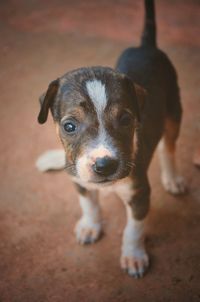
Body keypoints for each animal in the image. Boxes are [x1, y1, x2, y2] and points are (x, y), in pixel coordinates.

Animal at [36, 0, 186, 278]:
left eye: (126, 120)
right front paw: (90, 226)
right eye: (69, 126)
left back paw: (173, 178)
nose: (104, 165)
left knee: (168, 146)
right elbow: (89, 205)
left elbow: (134, 230)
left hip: (174, 108)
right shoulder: (79, 181)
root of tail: (146, 46)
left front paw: (134, 257)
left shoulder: (140, 194)